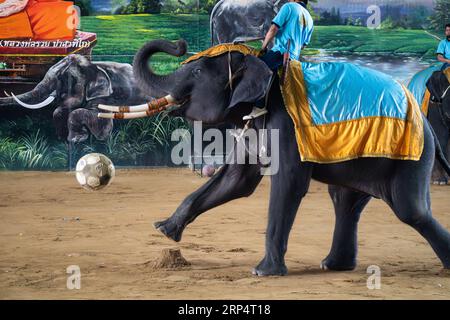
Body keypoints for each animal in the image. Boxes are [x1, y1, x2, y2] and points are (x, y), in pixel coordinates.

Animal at [0, 54, 153, 142]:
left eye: (65, 78)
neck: (94, 66)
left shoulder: (105, 96)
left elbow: (102, 123)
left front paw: (76, 140)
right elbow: (61, 109)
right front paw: (61, 138)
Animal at [102, 39, 450, 276]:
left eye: (198, 71)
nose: (179, 44)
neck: (262, 63)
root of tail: (424, 120)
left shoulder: (286, 126)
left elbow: (288, 184)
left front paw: (261, 272)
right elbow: (234, 181)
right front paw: (163, 229)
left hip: (409, 157)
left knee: (411, 211)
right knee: (345, 201)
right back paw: (332, 266)